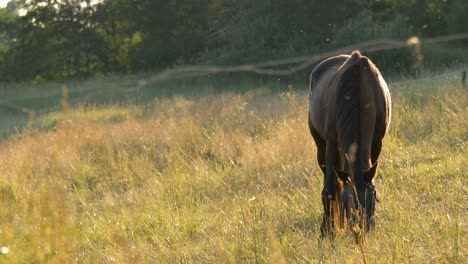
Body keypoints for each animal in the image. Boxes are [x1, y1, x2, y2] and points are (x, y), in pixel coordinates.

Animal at [308, 50, 392, 238]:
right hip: (321, 147)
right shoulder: (331, 144)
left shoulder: (377, 142)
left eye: (372, 199)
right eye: (348, 202)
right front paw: (327, 233)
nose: (360, 233)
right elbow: (329, 190)